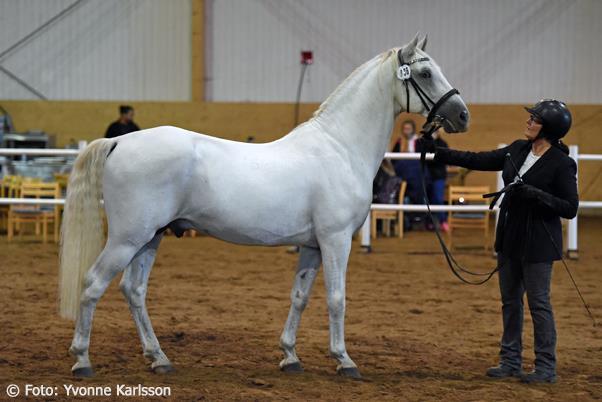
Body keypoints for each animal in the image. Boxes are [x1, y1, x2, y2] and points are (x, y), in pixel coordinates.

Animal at [59, 33, 469, 379]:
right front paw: (344, 360)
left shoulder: (312, 245)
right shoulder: (336, 240)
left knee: (134, 290)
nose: (462, 115)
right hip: (127, 239)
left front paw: (290, 356)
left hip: (151, 237)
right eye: (425, 72)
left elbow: (300, 297)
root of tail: (120, 142)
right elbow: (336, 299)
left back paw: (158, 358)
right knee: (92, 284)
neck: (339, 146)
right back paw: (82, 360)